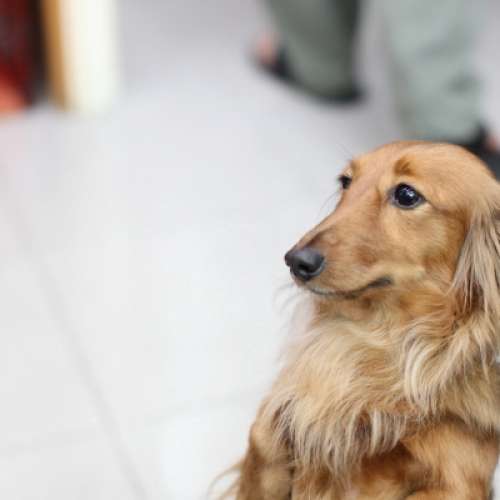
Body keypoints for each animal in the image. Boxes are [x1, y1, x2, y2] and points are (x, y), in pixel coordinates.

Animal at [227, 142, 500, 499]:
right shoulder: (282, 417)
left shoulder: (459, 475)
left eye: (407, 195)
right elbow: (268, 437)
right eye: (346, 181)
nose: (296, 261)